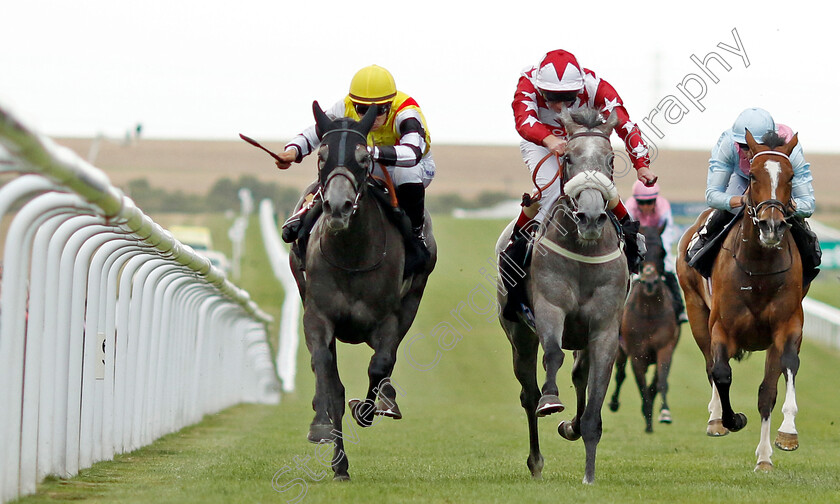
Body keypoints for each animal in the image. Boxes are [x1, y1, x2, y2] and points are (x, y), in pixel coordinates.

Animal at [298, 101, 436, 480]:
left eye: (363, 158)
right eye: (321, 156)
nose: (337, 206)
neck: (351, 254)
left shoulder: (388, 319)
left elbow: (380, 365)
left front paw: (368, 409)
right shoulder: (317, 315)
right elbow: (326, 374)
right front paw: (320, 425)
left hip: (413, 300)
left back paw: (386, 400)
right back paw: (339, 463)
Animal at [496, 107, 628, 484]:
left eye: (611, 160)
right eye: (567, 157)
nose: (591, 217)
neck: (583, 252)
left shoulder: (604, 330)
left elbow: (595, 403)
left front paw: (589, 474)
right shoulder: (549, 308)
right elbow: (552, 355)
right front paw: (552, 401)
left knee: (580, 375)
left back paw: (571, 428)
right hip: (518, 334)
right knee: (528, 393)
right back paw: (536, 462)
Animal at [612, 224, 684, 434]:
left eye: (662, 251)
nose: (650, 283)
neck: (650, 310)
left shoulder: (665, 348)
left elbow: (660, 382)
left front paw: (664, 413)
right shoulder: (637, 353)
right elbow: (641, 384)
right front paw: (648, 416)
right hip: (620, 349)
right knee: (620, 375)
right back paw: (614, 403)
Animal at [676, 128, 800, 470]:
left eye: (791, 176)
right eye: (754, 175)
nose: (772, 226)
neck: (758, 268)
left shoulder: (788, 325)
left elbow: (783, 374)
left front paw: (787, 434)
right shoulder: (721, 326)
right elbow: (720, 372)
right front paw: (730, 419)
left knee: (767, 391)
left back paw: (764, 457)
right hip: (695, 313)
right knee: (710, 366)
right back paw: (716, 419)